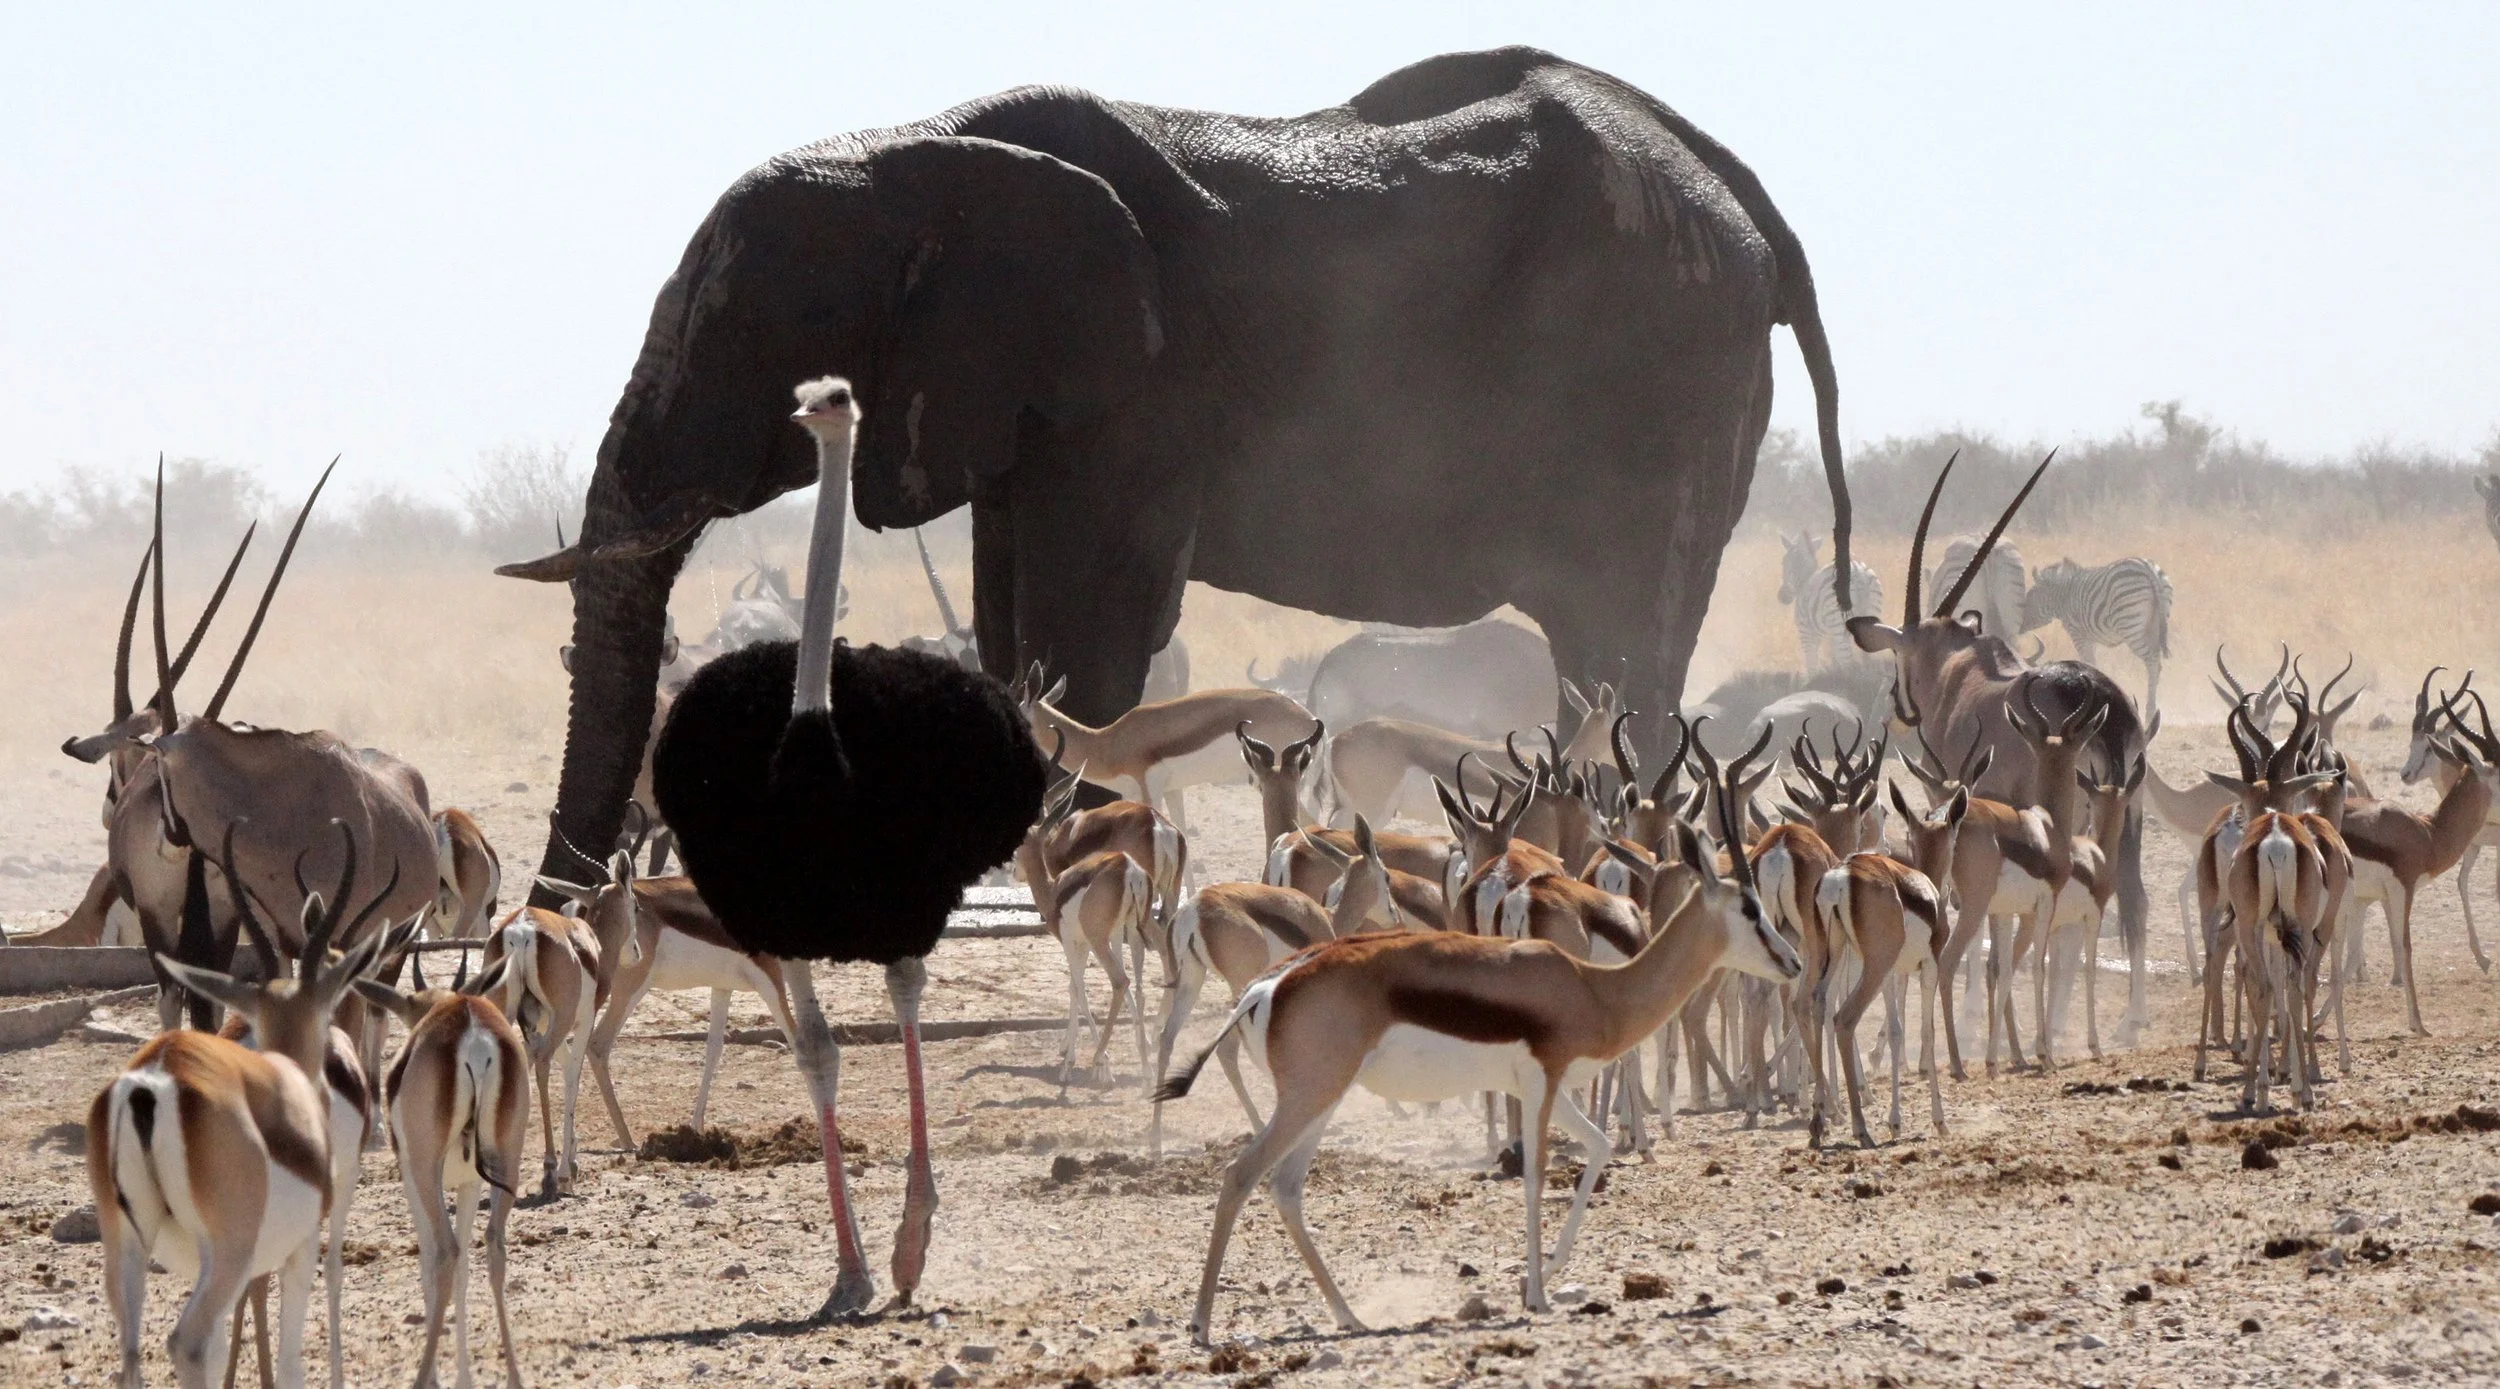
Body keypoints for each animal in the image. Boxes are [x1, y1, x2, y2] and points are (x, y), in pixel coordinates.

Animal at [504, 47, 1853, 905]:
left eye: (741, 339)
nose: (555, 909)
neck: (917, 154)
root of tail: (1735, 191)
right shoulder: (1023, 400)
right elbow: (1014, 625)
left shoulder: (1133, 389)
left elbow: (1088, 632)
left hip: (1659, 375)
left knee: (1623, 642)